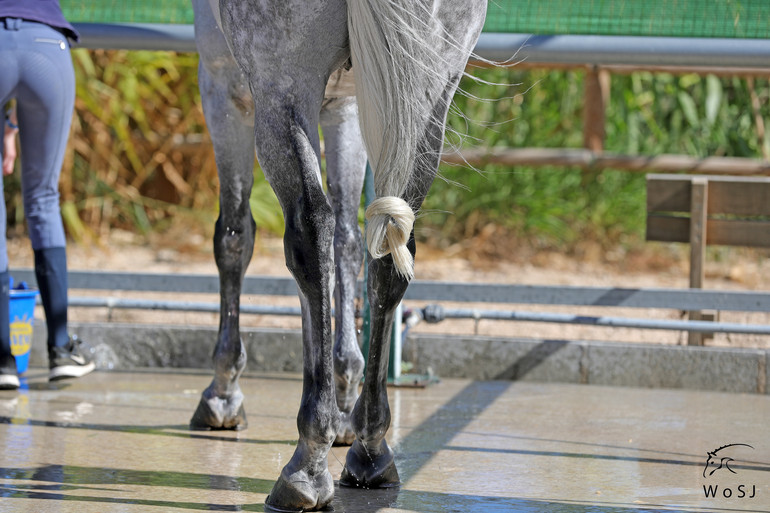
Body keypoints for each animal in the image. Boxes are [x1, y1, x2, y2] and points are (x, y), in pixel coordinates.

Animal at [190, 2, 486, 510]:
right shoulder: (348, 107)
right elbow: (350, 241)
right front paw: (346, 392)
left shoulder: (223, 85)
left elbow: (235, 236)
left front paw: (224, 393)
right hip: (430, 92)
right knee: (390, 238)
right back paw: (369, 448)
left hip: (282, 86)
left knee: (309, 232)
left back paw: (306, 467)